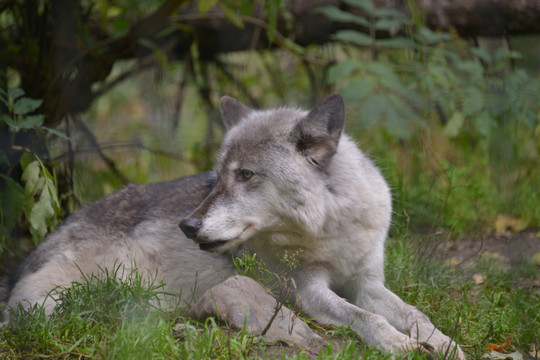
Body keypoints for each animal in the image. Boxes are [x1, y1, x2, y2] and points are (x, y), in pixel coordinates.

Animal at [0, 94, 464, 358]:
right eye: (218, 176)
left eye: (245, 175)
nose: (187, 226)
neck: (329, 230)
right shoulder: (307, 290)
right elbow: (363, 317)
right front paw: (399, 344)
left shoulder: (367, 282)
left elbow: (413, 312)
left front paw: (444, 343)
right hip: (75, 298)